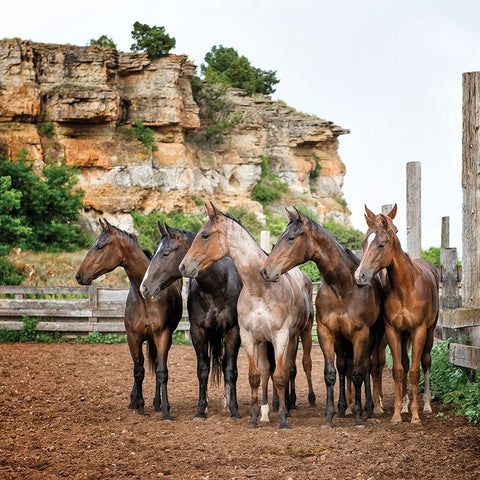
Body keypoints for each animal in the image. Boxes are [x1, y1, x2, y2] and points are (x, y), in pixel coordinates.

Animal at [76, 219, 183, 418]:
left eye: (100, 246)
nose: (79, 275)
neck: (145, 298)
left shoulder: (163, 336)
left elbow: (161, 371)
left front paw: (165, 409)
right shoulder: (132, 337)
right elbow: (138, 371)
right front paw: (139, 404)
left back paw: (157, 402)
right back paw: (134, 400)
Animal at [139, 223, 244, 418]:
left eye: (165, 253)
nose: (144, 287)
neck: (217, 286)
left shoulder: (233, 331)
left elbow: (230, 370)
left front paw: (234, 409)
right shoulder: (198, 332)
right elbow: (202, 370)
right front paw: (201, 409)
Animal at [260, 206, 384, 428]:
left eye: (291, 238)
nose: (265, 271)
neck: (343, 287)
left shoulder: (361, 334)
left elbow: (358, 374)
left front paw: (359, 417)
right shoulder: (327, 333)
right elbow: (331, 374)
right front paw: (329, 416)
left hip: (372, 336)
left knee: (366, 367)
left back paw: (369, 408)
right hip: (342, 340)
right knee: (344, 367)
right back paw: (344, 408)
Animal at [352, 202, 438, 424]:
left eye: (381, 245)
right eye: (364, 243)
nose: (360, 276)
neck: (405, 289)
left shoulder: (419, 331)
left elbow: (415, 372)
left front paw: (415, 416)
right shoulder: (393, 330)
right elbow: (399, 370)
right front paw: (398, 414)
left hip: (430, 332)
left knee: (426, 362)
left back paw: (426, 405)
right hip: (404, 334)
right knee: (406, 364)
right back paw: (407, 405)